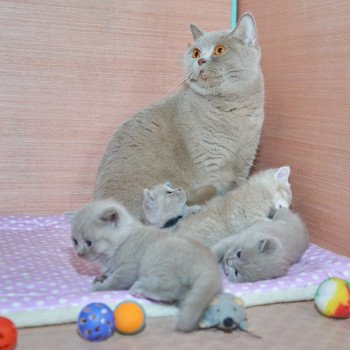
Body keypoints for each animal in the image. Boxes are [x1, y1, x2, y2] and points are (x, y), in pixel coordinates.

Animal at [71, 198, 221, 332]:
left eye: (89, 242)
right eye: (75, 241)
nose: (79, 253)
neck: (123, 240)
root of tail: (209, 265)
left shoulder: (128, 269)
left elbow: (114, 282)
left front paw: (99, 287)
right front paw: (100, 278)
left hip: (154, 259)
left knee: (171, 287)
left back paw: (140, 288)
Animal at [94, 13, 264, 219]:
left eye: (220, 50)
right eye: (196, 53)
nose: (201, 60)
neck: (234, 112)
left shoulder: (244, 163)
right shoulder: (211, 166)